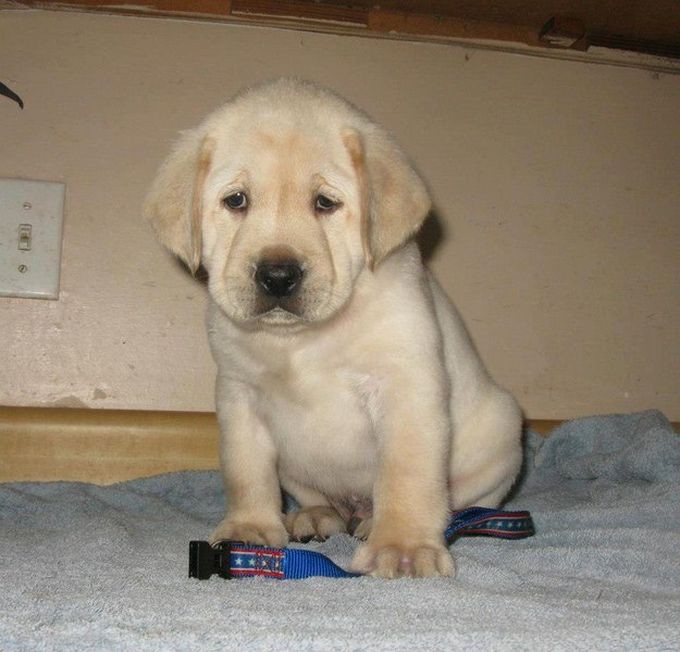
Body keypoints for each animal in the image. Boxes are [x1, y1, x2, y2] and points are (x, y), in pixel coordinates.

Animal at [146, 79, 524, 580]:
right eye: (236, 200)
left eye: (325, 203)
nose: (278, 276)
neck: (301, 339)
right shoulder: (239, 395)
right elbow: (246, 472)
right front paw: (249, 528)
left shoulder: (405, 387)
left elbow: (406, 475)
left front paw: (404, 546)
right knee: (319, 498)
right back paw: (315, 517)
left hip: (501, 435)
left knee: (463, 500)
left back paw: (380, 524)